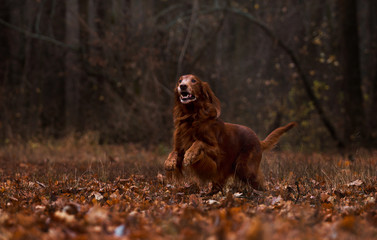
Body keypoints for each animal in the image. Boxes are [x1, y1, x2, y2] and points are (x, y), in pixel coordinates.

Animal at [164, 74, 296, 194]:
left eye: (193, 80)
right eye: (179, 80)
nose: (182, 86)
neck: (192, 117)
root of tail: (258, 140)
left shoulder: (217, 152)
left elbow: (199, 142)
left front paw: (190, 155)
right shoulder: (180, 147)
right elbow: (173, 152)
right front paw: (169, 162)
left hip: (244, 168)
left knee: (261, 185)